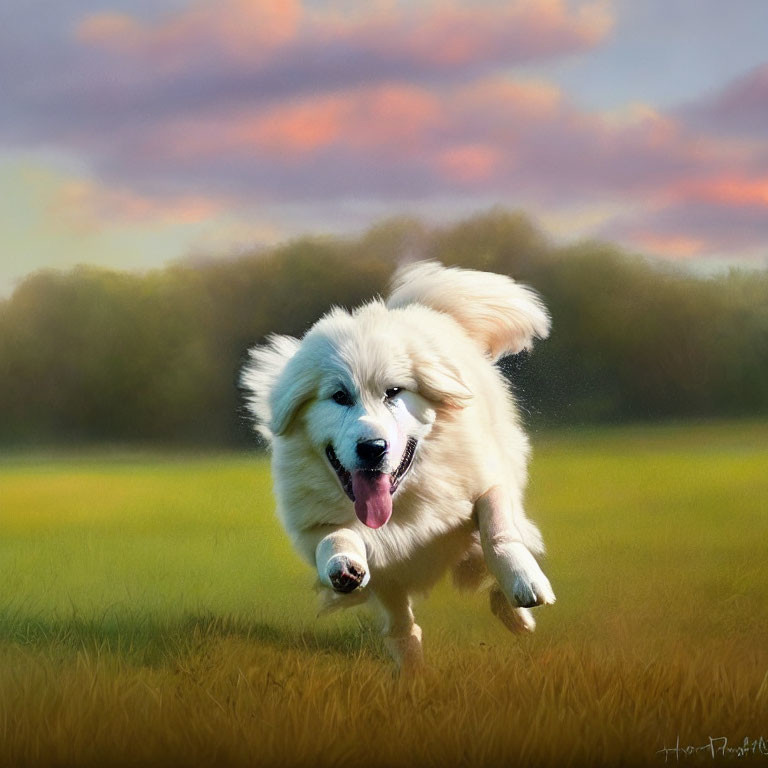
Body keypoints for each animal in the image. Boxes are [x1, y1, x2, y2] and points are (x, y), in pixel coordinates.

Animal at [243, 260, 556, 668]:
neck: (402, 502)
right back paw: (412, 669)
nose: (372, 448)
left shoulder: (487, 479)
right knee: (400, 623)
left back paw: (515, 614)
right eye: (339, 396)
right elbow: (336, 538)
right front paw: (344, 566)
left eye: (394, 392)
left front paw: (524, 584)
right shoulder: (316, 525)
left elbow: (497, 528)